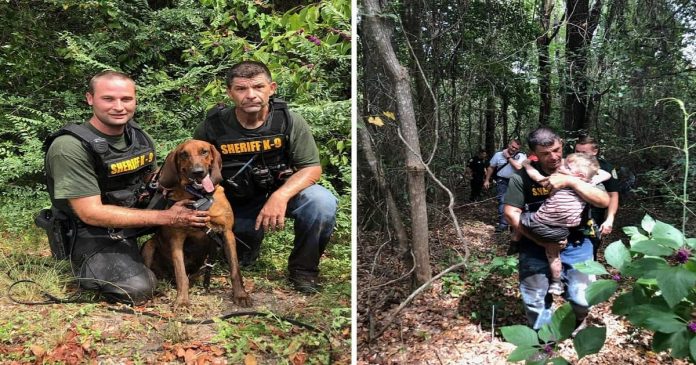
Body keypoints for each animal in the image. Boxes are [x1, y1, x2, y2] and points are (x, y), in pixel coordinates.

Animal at [140, 139, 251, 308]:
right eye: (184, 154)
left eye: (204, 151)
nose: (198, 172)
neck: (200, 197)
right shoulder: (177, 239)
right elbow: (181, 274)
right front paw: (182, 301)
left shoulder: (227, 233)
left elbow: (235, 269)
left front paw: (240, 295)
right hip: (149, 246)